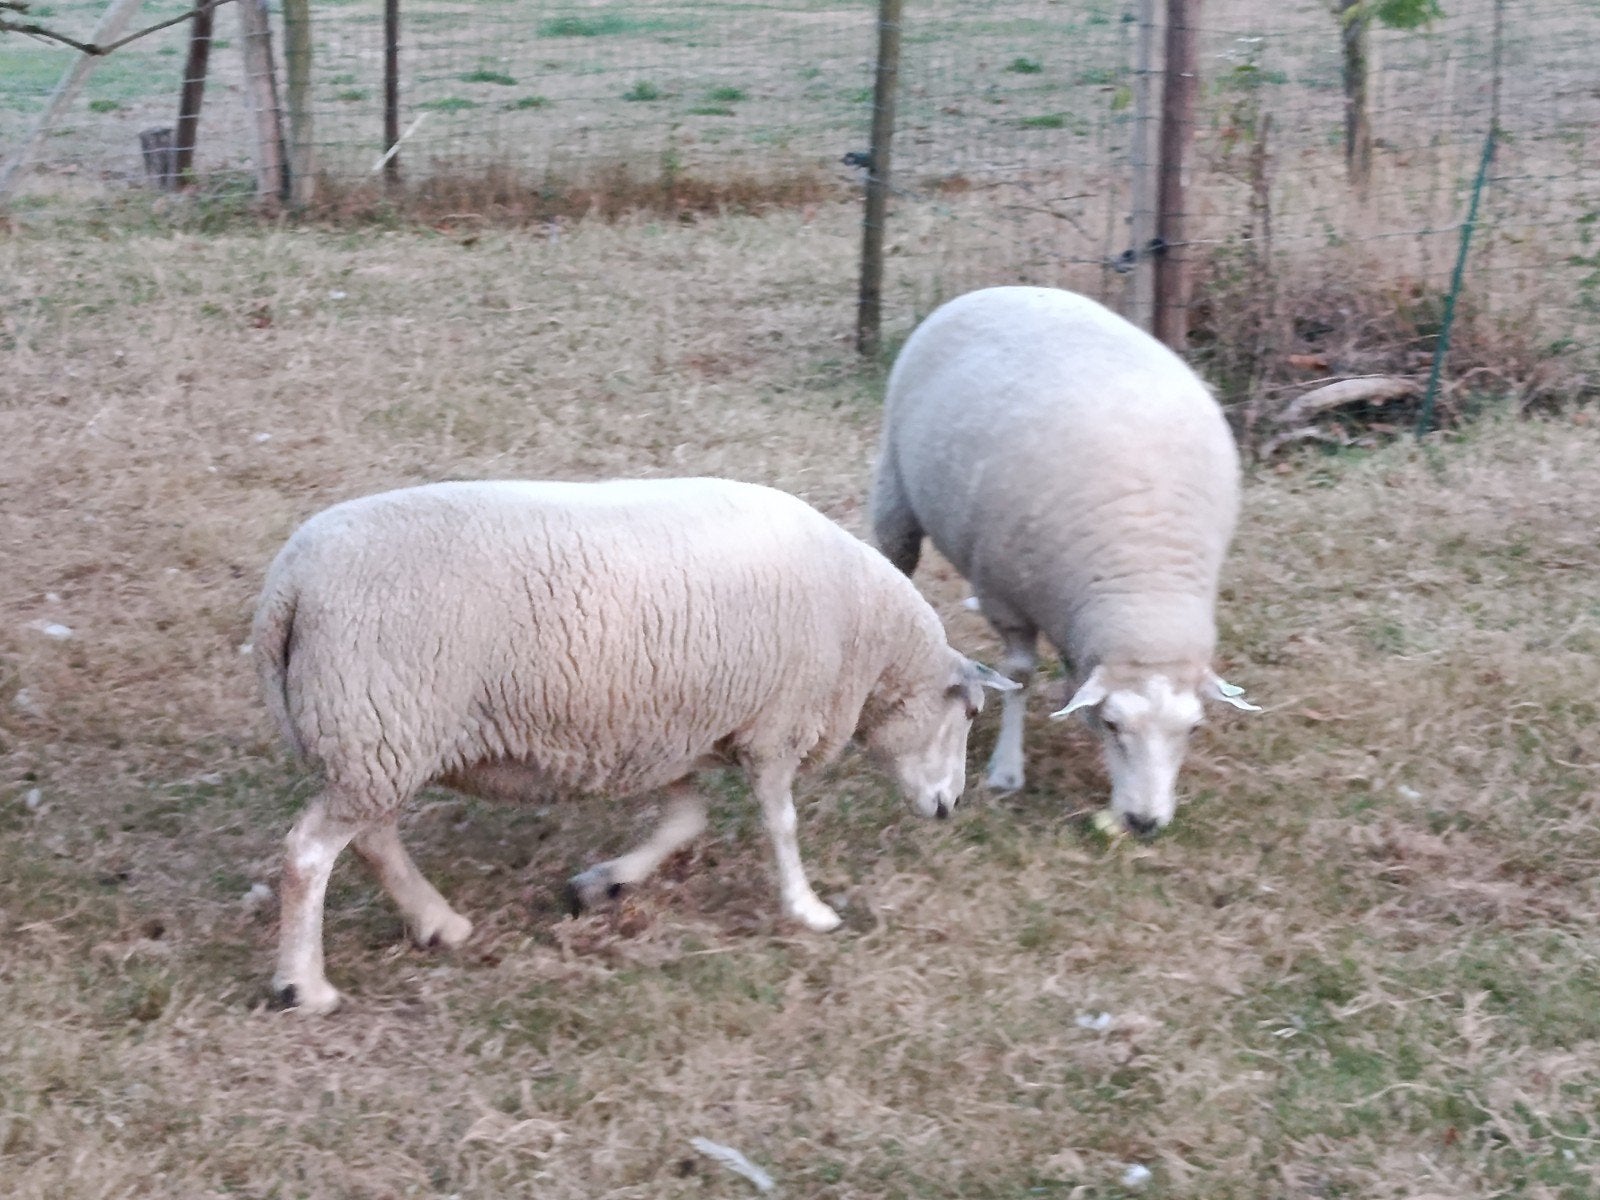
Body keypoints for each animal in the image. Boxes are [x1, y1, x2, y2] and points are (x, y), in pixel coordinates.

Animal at [252, 476, 1017, 1013]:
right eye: (971, 712)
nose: (949, 806)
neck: (865, 633)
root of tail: (287, 588)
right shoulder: (776, 725)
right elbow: (782, 824)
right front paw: (808, 909)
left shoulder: (669, 730)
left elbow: (685, 821)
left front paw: (604, 883)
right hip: (382, 726)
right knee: (310, 853)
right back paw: (303, 986)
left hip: (377, 739)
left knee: (374, 839)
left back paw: (437, 923)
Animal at [869, 286, 1259, 835]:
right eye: (1115, 724)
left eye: (1195, 728)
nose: (1144, 823)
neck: (1146, 570)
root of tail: (1005, 287)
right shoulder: (1005, 596)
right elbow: (1019, 675)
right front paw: (1007, 771)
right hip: (895, 491)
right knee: (895, 559)